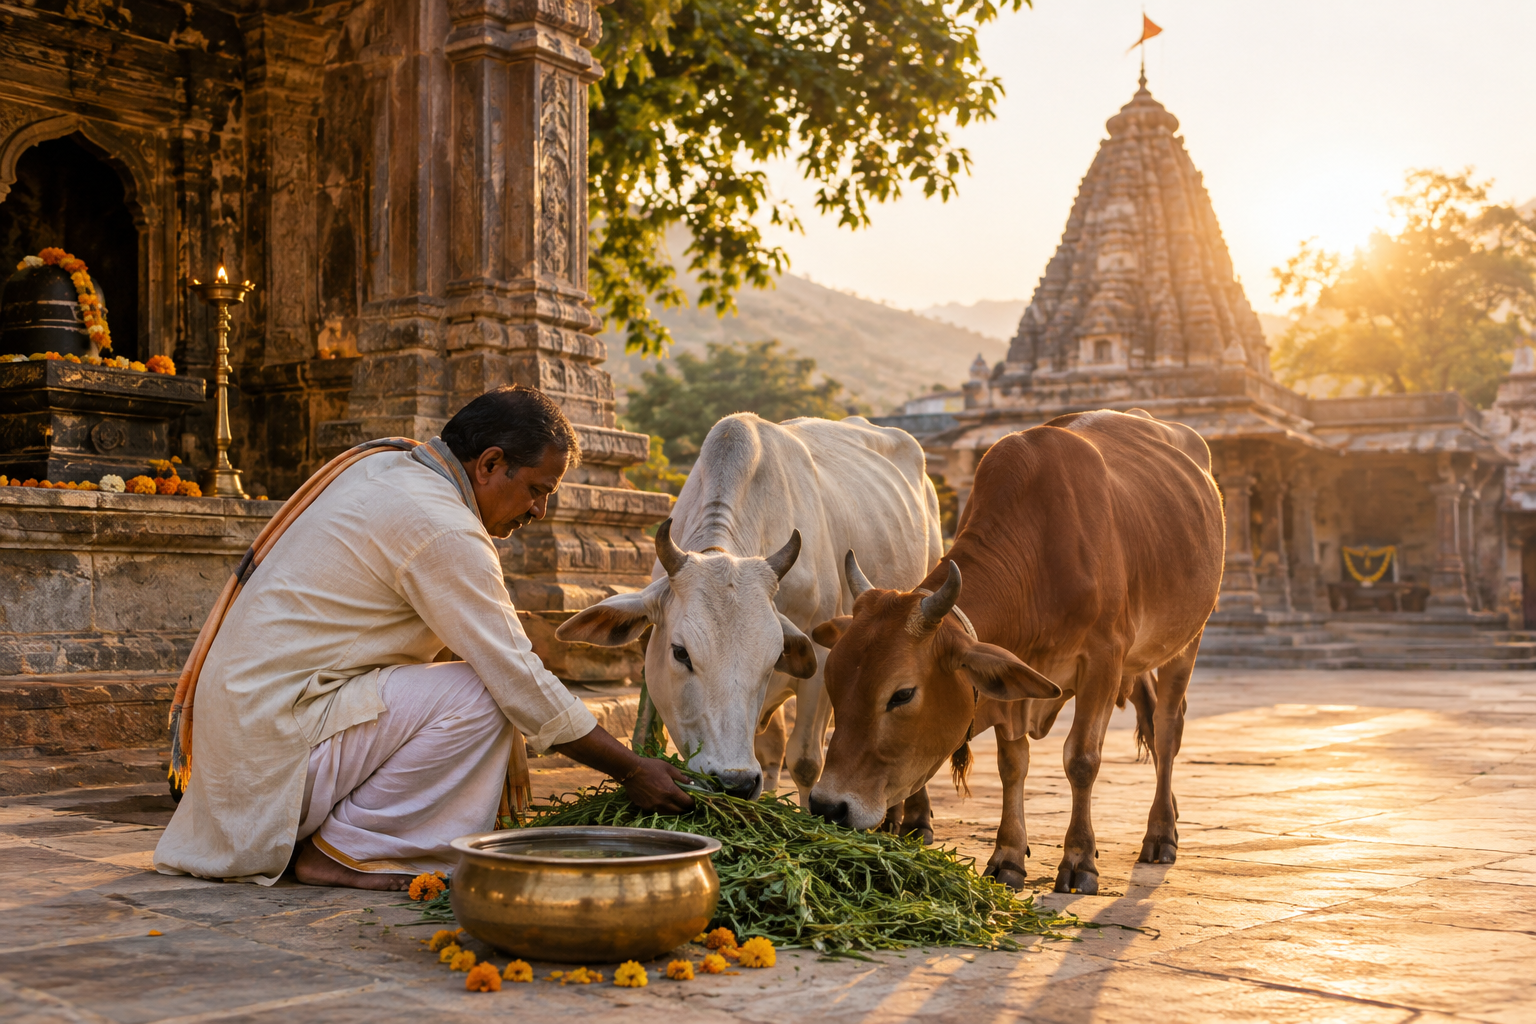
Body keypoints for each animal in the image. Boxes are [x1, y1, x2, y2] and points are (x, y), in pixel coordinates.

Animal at [807, 409, 1224, 894]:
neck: (1040, 548)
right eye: (832, 682)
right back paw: (1170, 815)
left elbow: (1082, 759)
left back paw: (1160, 834)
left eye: (902, 694)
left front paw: (1079, 859)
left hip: (1187, 637)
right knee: (1152, 717)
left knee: (1168, 726)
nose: (828, 806)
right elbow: (1012, 764)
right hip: (1136, 661)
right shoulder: (1016, 678)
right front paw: (1007, 856)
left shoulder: (1103, 659)